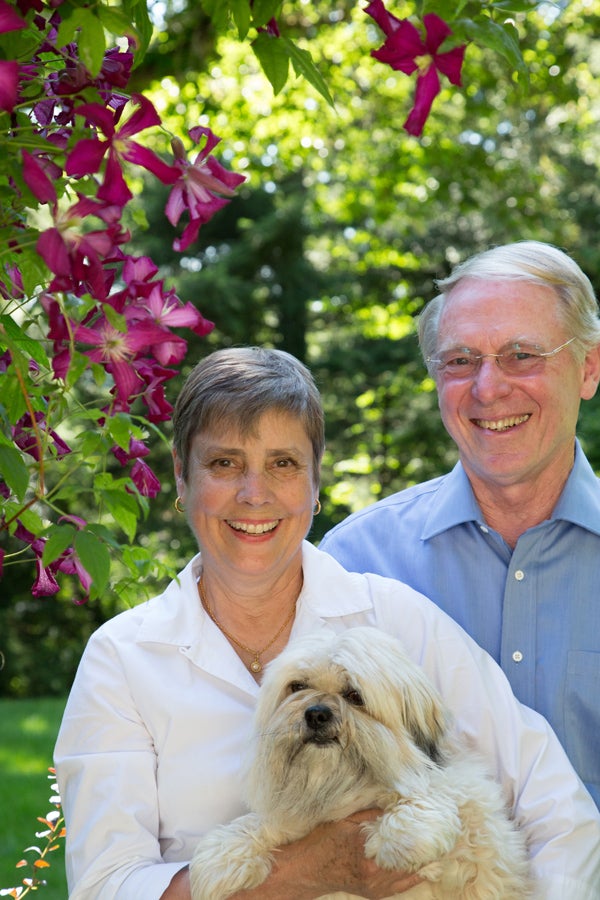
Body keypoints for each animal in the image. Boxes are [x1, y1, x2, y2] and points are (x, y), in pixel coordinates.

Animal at [190, 624, 532, 900]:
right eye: (298, 686)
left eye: (354, 695)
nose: (316, 713)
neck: (345, 788)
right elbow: (263, 823)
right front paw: (224, 854)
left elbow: (431, 791)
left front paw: (404, 834)